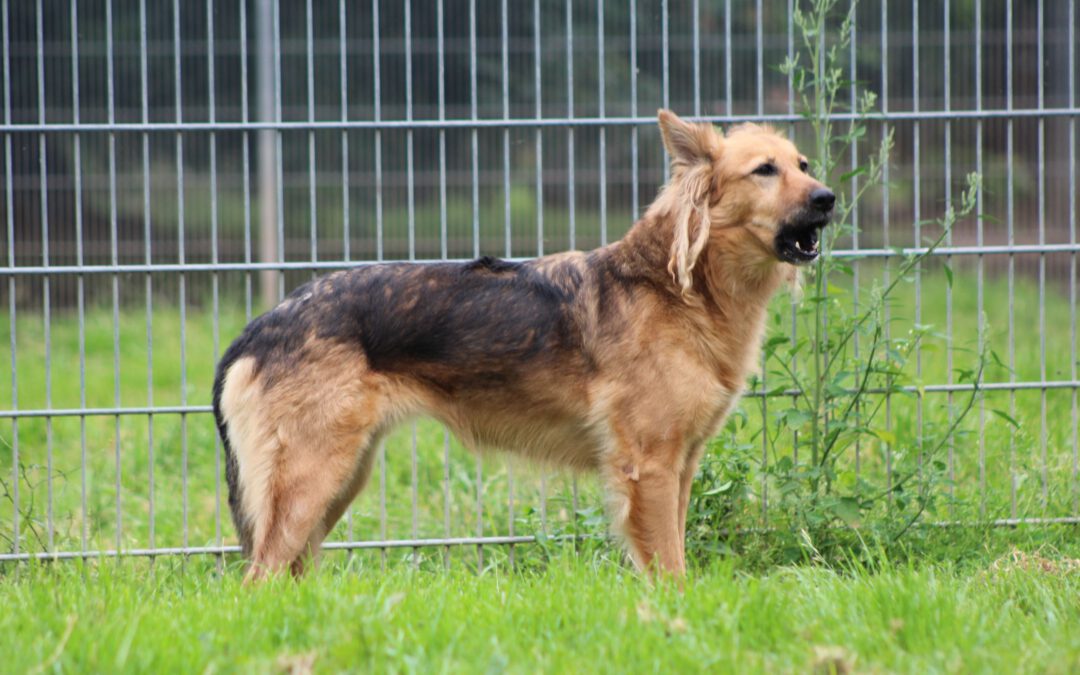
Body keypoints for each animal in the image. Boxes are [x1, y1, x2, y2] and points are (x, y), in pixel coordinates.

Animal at [210, 110, 833, 578]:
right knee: (257, 579)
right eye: (764, 171)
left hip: (339, 482)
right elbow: (669, 568)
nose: (828, 197)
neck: (680, 289)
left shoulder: (679, 468)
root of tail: (264, 323)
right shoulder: (649, 468)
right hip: (311, 483)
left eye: (803, 165)